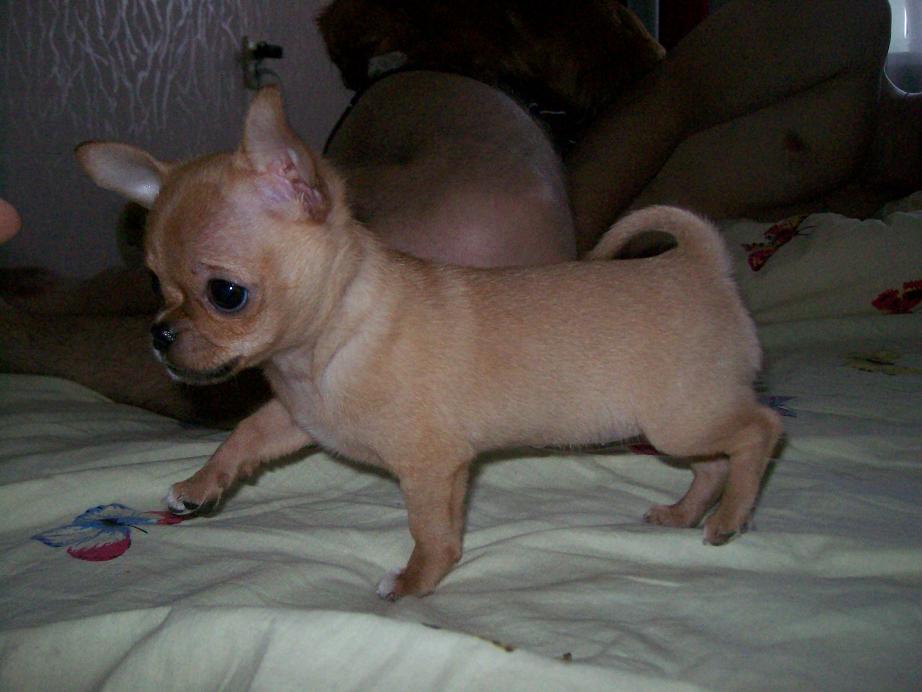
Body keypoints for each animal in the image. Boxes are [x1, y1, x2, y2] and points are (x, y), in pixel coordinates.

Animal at [76, 87, 781, 599]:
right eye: (152, 283)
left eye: (226, 294)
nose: (159, 335)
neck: (325, 347)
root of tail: (701, 263)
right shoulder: (297, 420)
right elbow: (243, 435)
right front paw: (199, 485)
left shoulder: (430, 467)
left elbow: (433, 533)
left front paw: (416, 582)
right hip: (680, 427)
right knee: (715, 461)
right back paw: (686, 513)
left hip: (680, 418)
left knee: (759, 432)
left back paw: (730, 517)